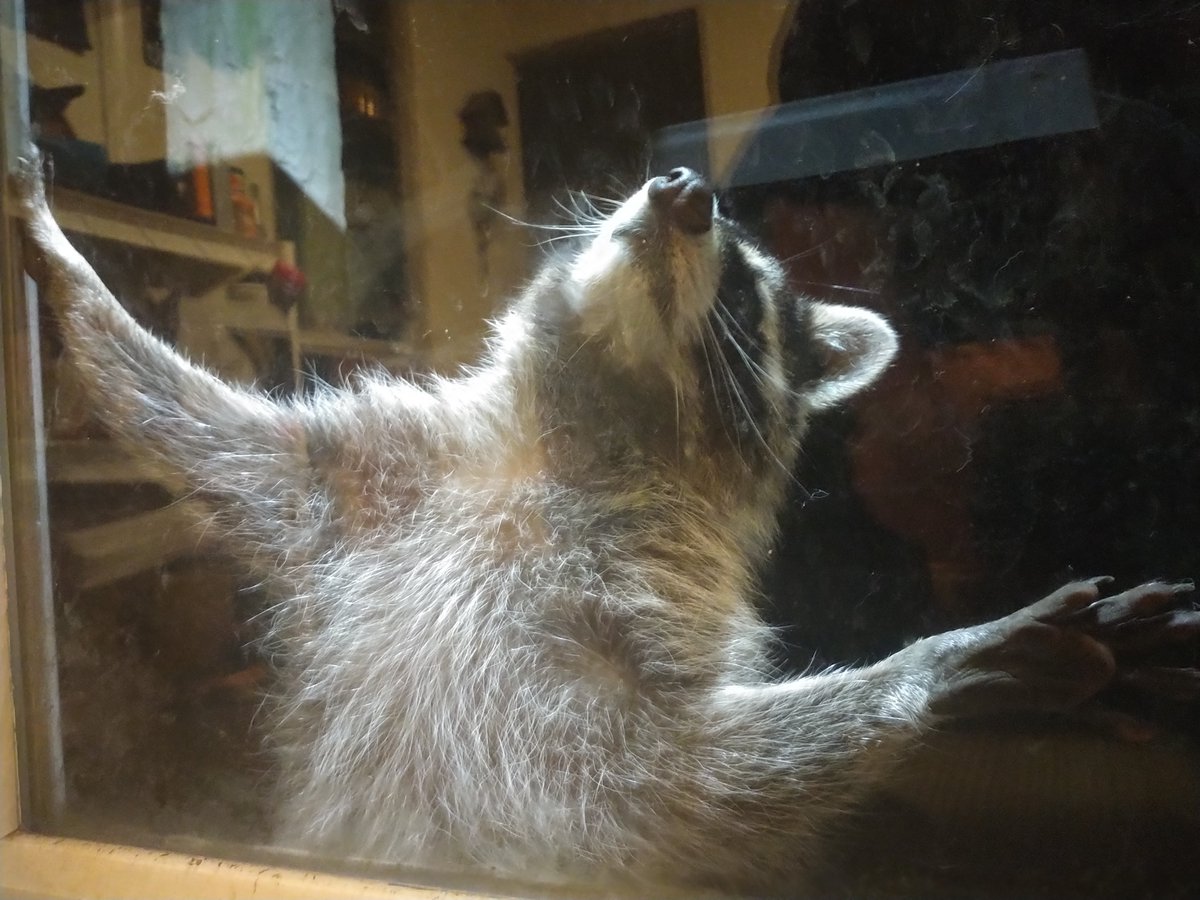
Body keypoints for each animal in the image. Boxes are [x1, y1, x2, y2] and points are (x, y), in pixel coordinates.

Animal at [14, 157, 1195, 894]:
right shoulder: (371, 481)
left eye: (745, 292)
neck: (577, 431)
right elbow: (203, 434)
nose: (685, 188)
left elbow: (660, 780)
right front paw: (78, 288)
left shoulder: (636, 615)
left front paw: (925, 666)